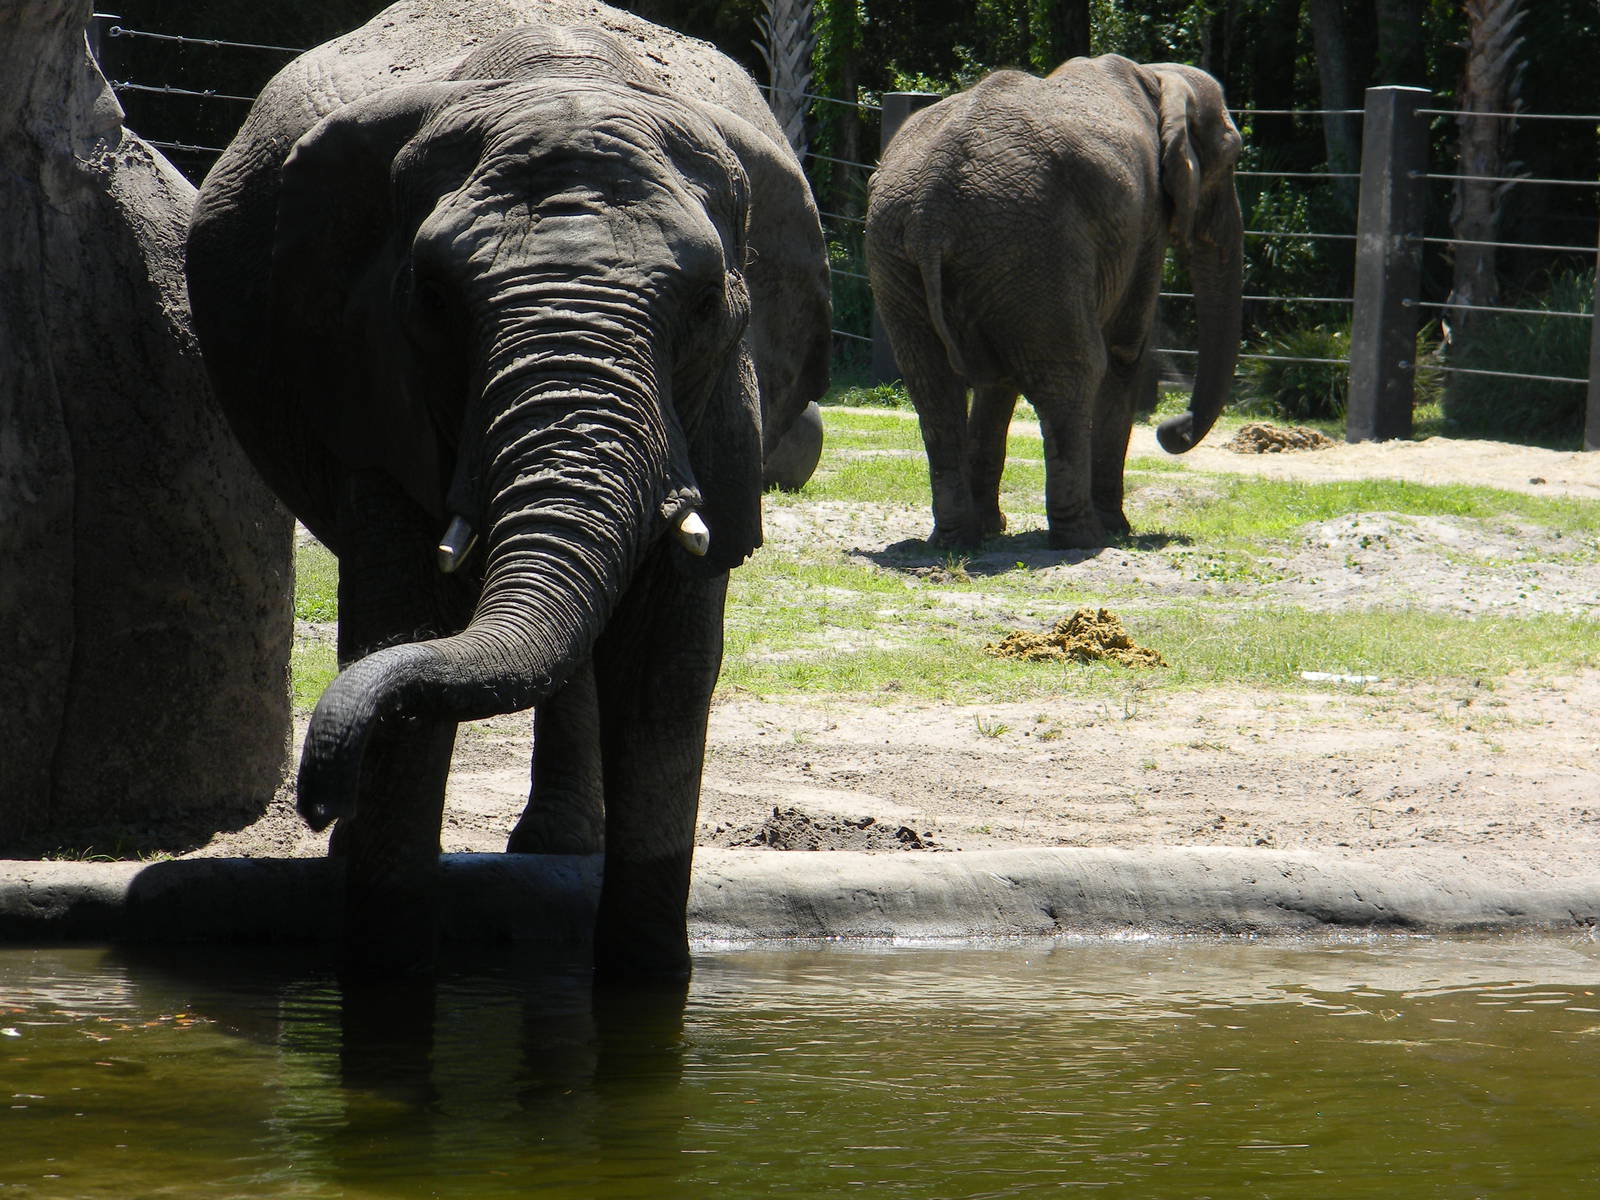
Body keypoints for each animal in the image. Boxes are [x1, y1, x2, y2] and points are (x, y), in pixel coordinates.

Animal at [184, 0, 830, 979]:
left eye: (708, 304)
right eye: (432, 298)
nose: (317, 796)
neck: (557, 76)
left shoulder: (728, 407)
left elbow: (668, 670)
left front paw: (648, 985)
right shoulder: (371, 379)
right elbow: (397, 619)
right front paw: (385, 970)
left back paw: (559, 849)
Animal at [865, 54, 1243, 549]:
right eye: (1233, 156)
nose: (1171, 430)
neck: (1155, 78)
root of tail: (932, 212)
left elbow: (996, 382)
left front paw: (992, 527)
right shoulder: (1145, 221)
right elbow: (1125, 351)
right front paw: (1118, 528)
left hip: (906, 253)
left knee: (932, 386)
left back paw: (957, 539)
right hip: (1036, 246)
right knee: (1073, 373)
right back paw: (1084, 537)